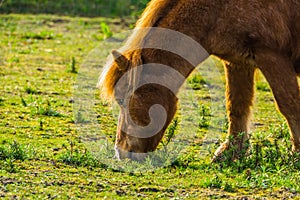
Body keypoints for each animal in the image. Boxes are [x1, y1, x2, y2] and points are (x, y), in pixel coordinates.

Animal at [98, 0, 300, 160]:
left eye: (121, 100)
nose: (121, 152)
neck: (218, 9)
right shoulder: (237, 63)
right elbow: (236, 106)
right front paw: (231, 152)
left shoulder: (271, 57)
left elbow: (289, 106)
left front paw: (296, 153)